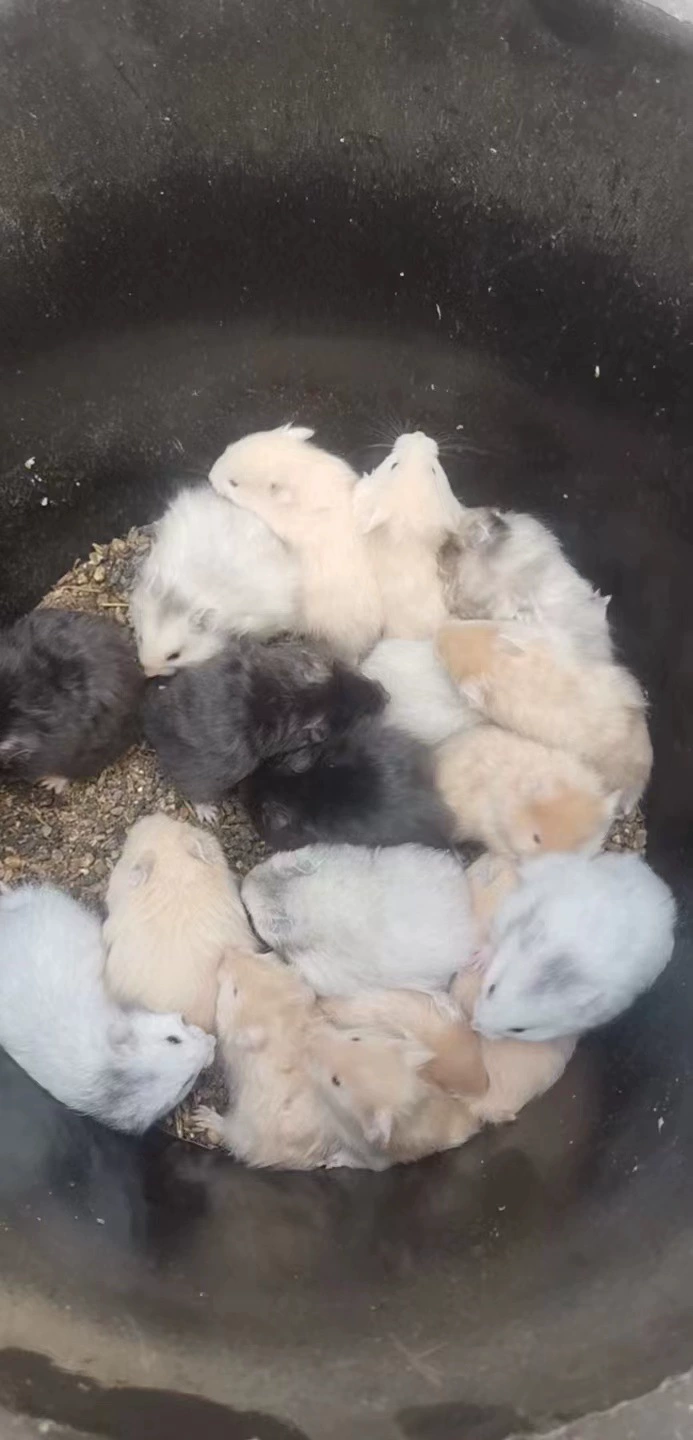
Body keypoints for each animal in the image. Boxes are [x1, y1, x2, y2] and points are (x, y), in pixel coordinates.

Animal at [142, 634, 386, 810]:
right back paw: (208, 812)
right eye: (360, 719)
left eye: (360, 676)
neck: (301, 698)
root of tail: (151, 723)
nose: (386, 696)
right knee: (194, 792)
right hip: (210, 776)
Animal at [472, 851, 677, 1041]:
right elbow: (494, 938)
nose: (475, 1026)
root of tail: (658, 886)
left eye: (519, 1030)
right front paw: (477, 961)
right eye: (491, 989)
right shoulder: (515, 909)